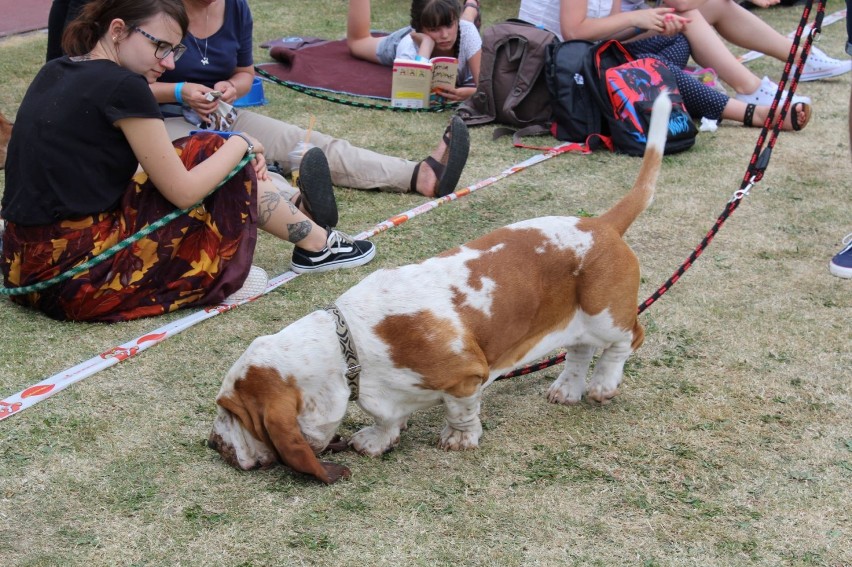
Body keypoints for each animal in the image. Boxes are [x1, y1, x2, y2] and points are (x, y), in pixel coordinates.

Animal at [210, 92, 676, 484]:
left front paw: (459, 439)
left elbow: (460, 411)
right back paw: (567, 389)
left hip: (605, 314)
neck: (350, 347)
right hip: (577, 320)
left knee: (627, 340)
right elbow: (385, 418)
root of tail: (602, 225)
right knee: (579, 351)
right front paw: (376, 440)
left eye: (236, 415)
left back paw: (603, 384)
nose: (213, 444)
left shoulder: (467, 379)